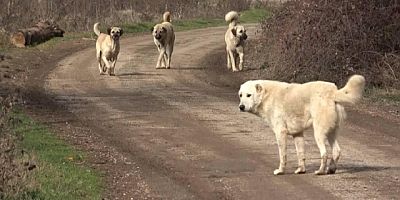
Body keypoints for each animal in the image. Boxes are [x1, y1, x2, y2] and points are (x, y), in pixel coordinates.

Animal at [238, 75, 366, 175]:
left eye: (249, 95)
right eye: (240, 95)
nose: (241, 107)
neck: (266, 95)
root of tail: (332, 91)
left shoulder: (280, 133)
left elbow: (282, 155)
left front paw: (280, 171)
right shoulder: (298, 134)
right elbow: (301, 154)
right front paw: (301, 170)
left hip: (319, 134)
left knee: (324, 153)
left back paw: (320, 171)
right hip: (331, 133)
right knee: (337, 151)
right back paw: (331, 170)